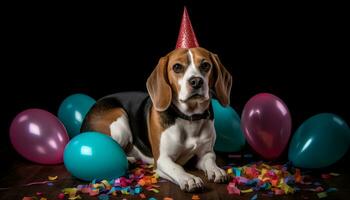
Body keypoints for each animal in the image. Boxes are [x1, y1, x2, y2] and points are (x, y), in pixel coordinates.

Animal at [81, 47, 232, 192]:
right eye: (177, 67)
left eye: (205, 65)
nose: (196, 81)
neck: (189, 118)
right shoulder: (162, 160)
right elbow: (177, 168)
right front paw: (189, 178)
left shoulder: (205, 153)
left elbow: (210, 160)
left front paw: (216, 170)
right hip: (120, 121)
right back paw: (128, 160)